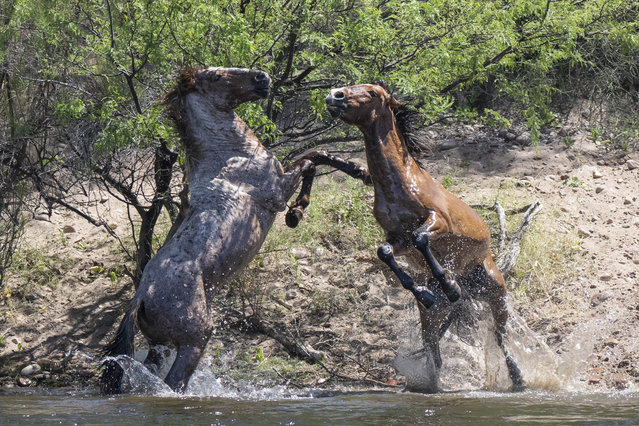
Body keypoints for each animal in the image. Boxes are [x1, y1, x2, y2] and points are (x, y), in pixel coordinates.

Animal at [100, 67, 332, 396]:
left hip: (159, 344)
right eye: (216, 77)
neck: (230, 154)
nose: (262, 78)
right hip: (195, 340)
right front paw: (296, 213)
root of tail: (141, 297)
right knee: (174, 383)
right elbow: (313, 161)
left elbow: (315, 153)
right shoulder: (277, 191)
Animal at [288, 83, 524, 392]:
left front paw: (449, 284)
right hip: (432, 319)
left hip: (497, 295)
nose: (335, 95)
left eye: (373, 93)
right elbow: (384, 252)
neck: (399, 181)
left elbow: (422, 238)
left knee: (501, 339)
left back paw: (517, 378)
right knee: (436, 350)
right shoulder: (398, 237)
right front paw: (425, 292)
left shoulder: (437, 221)